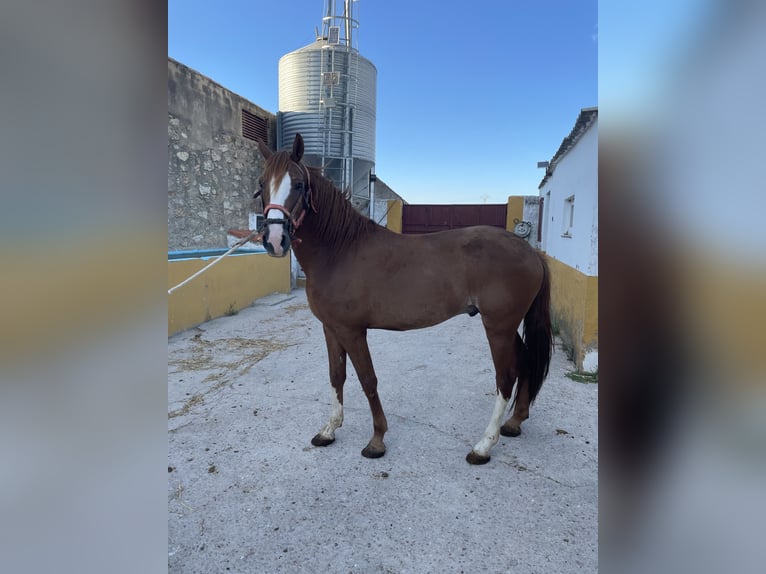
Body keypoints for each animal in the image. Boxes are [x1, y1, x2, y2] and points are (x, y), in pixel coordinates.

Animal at [255, 134, 552, 464]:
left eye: (298, 185)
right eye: (262, 183)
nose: (275, 241)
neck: (339, 250)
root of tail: (530, 252)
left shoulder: (352, 331)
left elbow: (367, 380)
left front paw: (377, 440)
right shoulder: (331, 329)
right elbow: (336, 376)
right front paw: (329, 430)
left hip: (498, 327)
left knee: (505, 377)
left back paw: (483, 446)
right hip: (508, 326)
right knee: (525, 360)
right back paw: (514, 422)